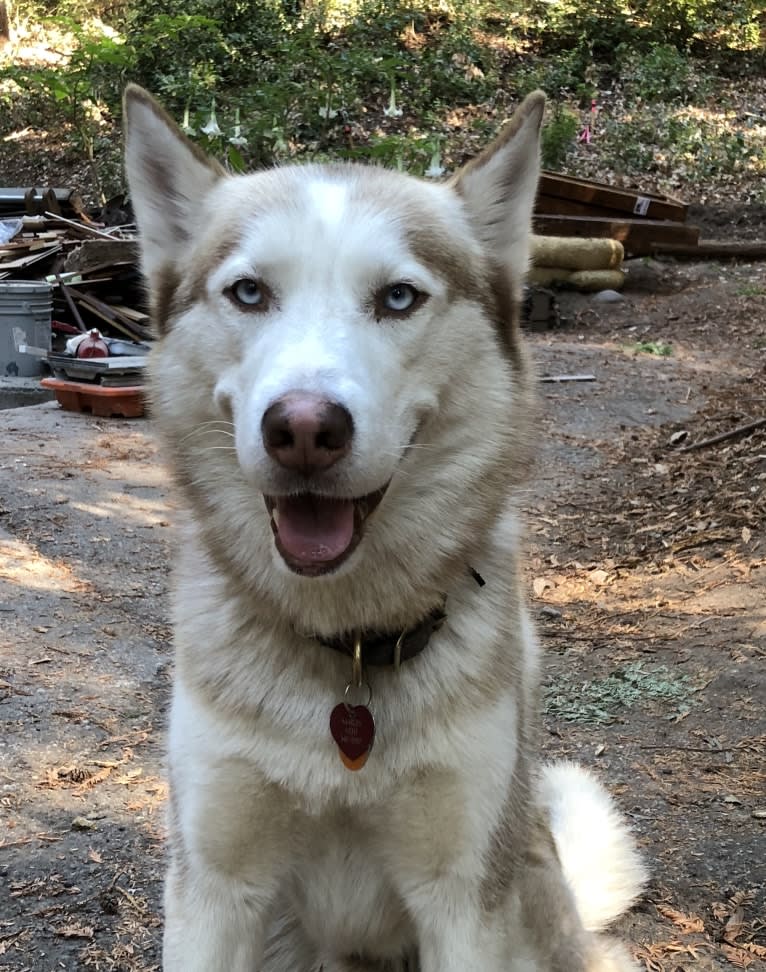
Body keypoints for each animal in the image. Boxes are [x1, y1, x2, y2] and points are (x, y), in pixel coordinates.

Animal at [124, 85, 648, 972]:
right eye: (249, 292)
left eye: (398, 297)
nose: (303, 428)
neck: (350, 652)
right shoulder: (214, 890)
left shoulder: (462, 901)